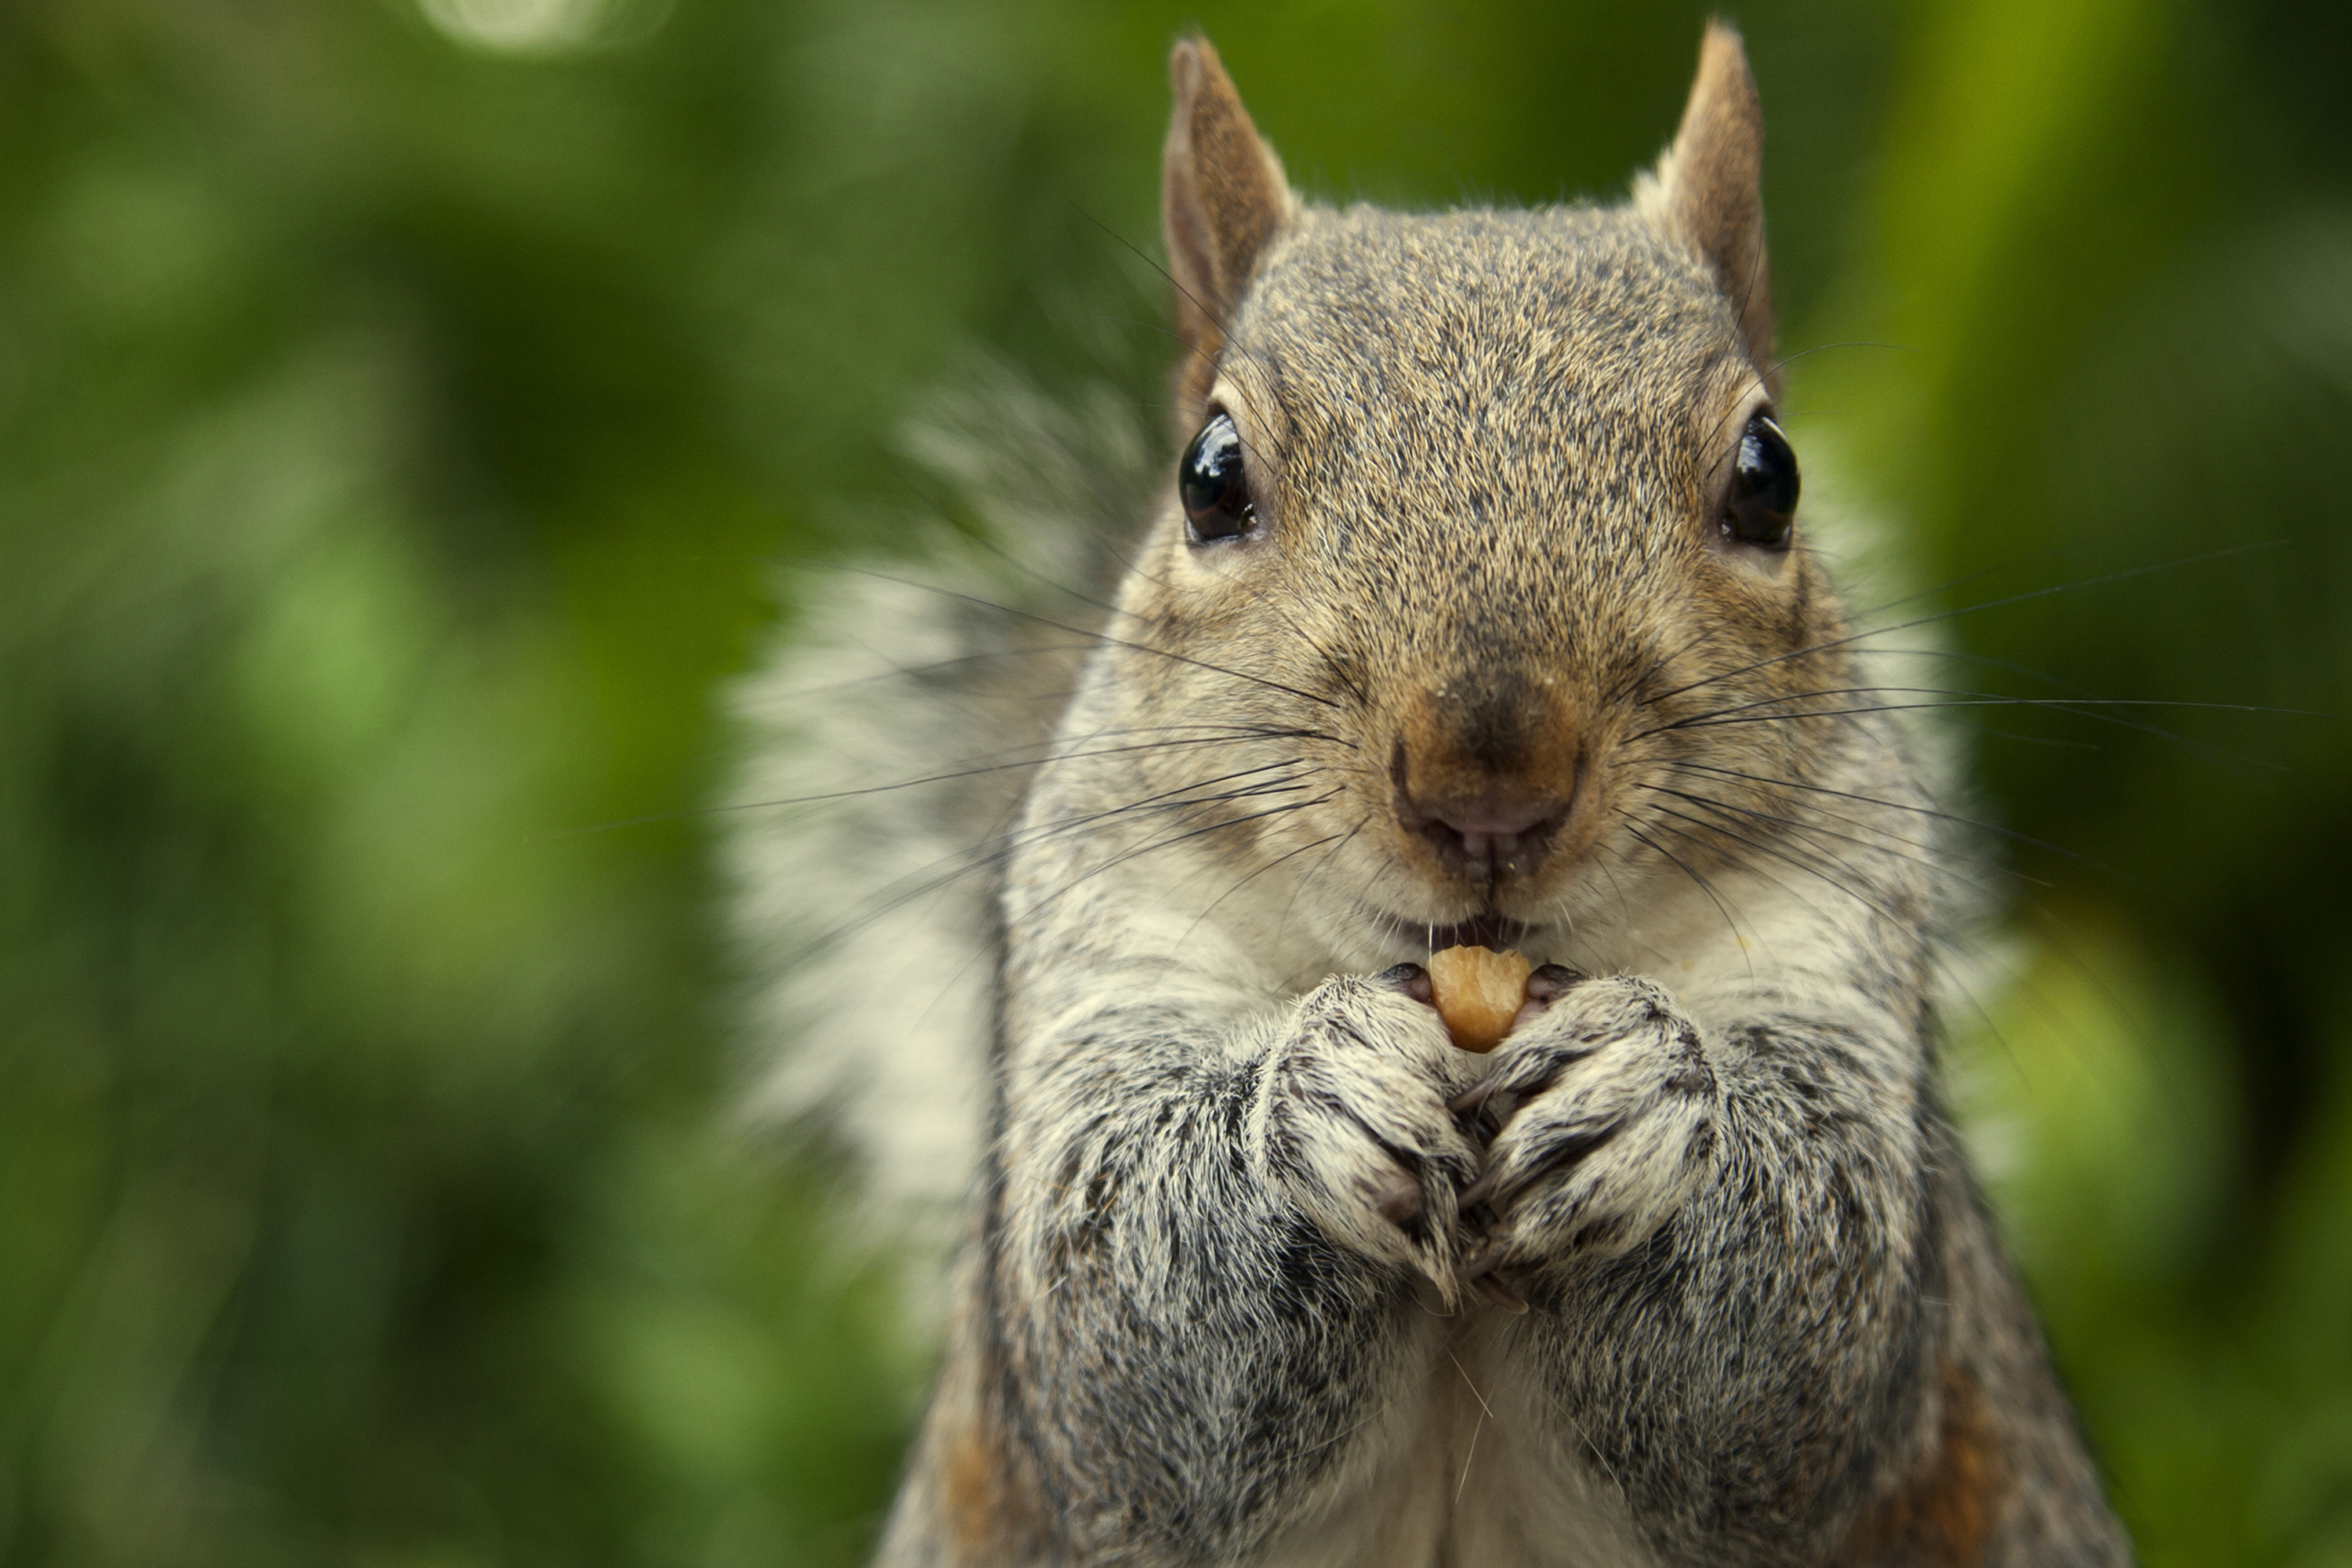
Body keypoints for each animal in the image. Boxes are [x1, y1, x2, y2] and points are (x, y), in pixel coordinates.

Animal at [726, 24, 2134, 1568]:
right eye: (1209, 477)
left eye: (1771, 476)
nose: (1488, 781)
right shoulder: (1101, 942)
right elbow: (1121, 1326)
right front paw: (1310, 1103)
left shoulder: (1847, 952)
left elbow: (1804, 1318)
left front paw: (1642, 1099)